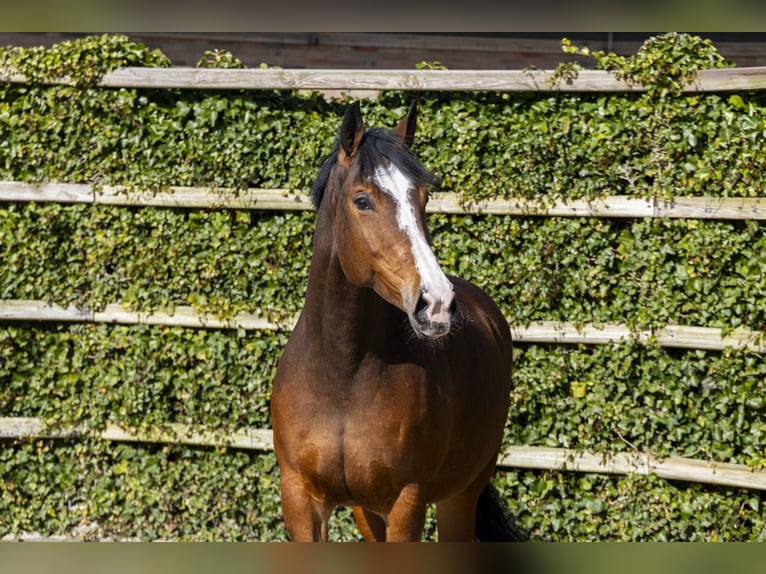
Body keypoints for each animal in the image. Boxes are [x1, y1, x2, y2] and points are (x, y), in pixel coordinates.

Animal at [270, 100, 523, 542]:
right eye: (362, 201)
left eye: (423, 198)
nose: (436, 303)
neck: (341, 378)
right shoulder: (301, 502)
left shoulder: (406, 503)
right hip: (366, 510)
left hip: (460, 497)